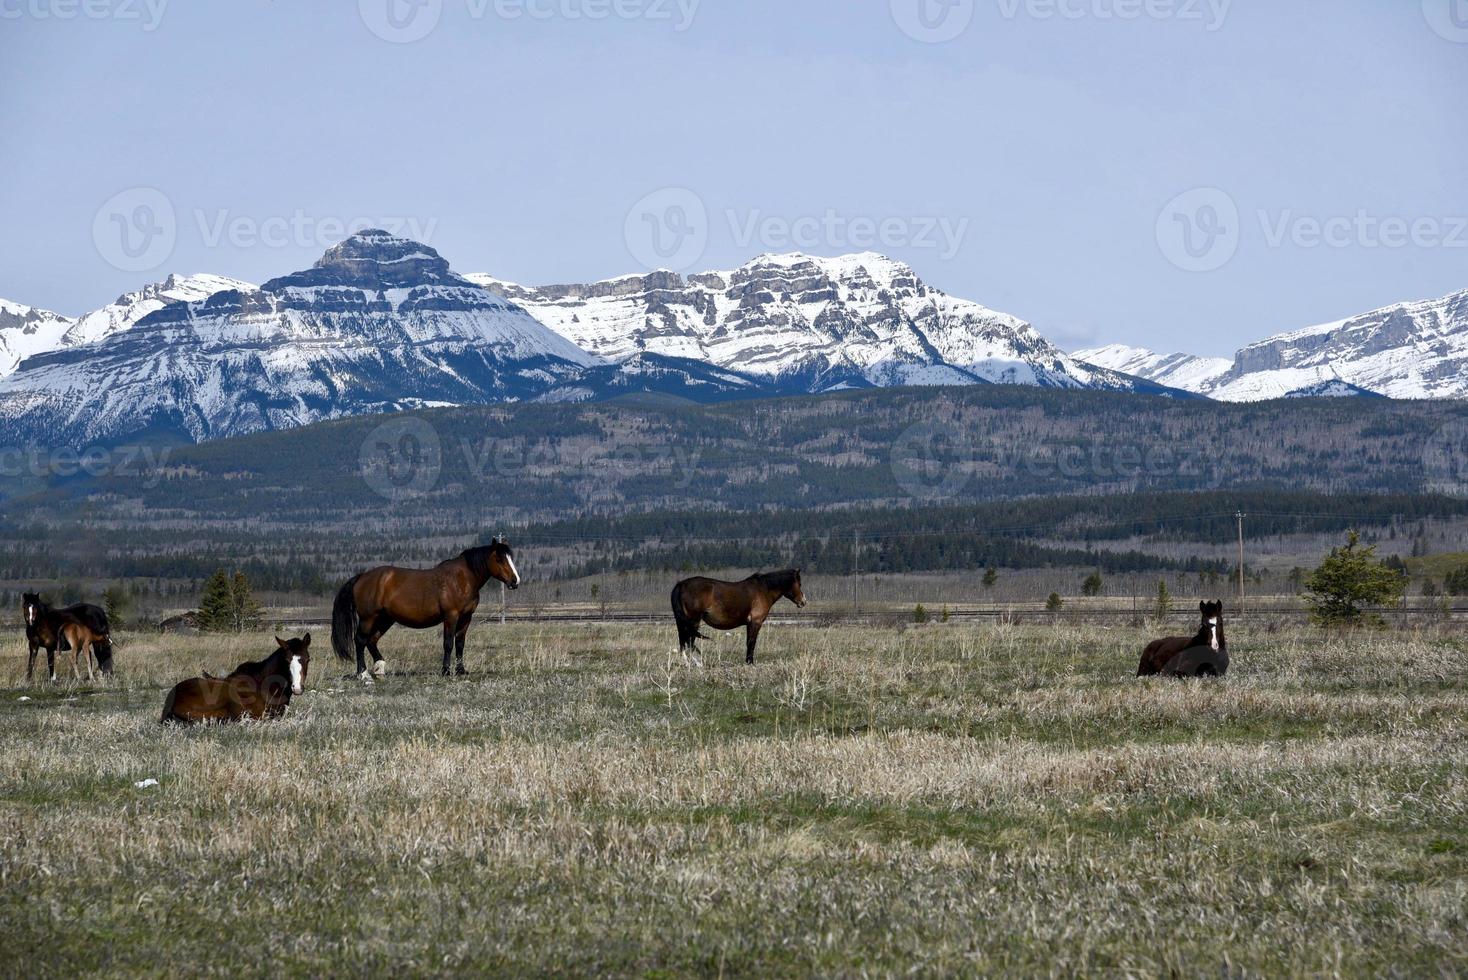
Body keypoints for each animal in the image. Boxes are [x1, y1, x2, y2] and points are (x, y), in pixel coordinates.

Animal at [333, 536, 522, 680]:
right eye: (499, 559)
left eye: (510, 558)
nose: (515, 581)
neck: (462, 579)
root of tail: (361, 577)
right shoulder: (451, 616)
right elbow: (448, 643)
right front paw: (446, 671)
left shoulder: (466, 617)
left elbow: (460, 643)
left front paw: (461, 670)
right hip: (368, 618)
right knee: (360, 640)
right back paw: (363, 674)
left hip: (385, 619)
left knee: (372, 640)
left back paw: (380, 669)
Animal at [672, 566, 810, 666]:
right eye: (799, 583)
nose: (803, 602)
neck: (764, 589)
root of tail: (681, 584)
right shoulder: (755, 622)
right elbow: (751, 643)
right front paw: (750, 663)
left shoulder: (750, 624)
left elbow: (749, 642)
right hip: (693, 621)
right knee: (688, 640)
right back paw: (695, 663)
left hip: (683, 622)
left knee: (683, 641)